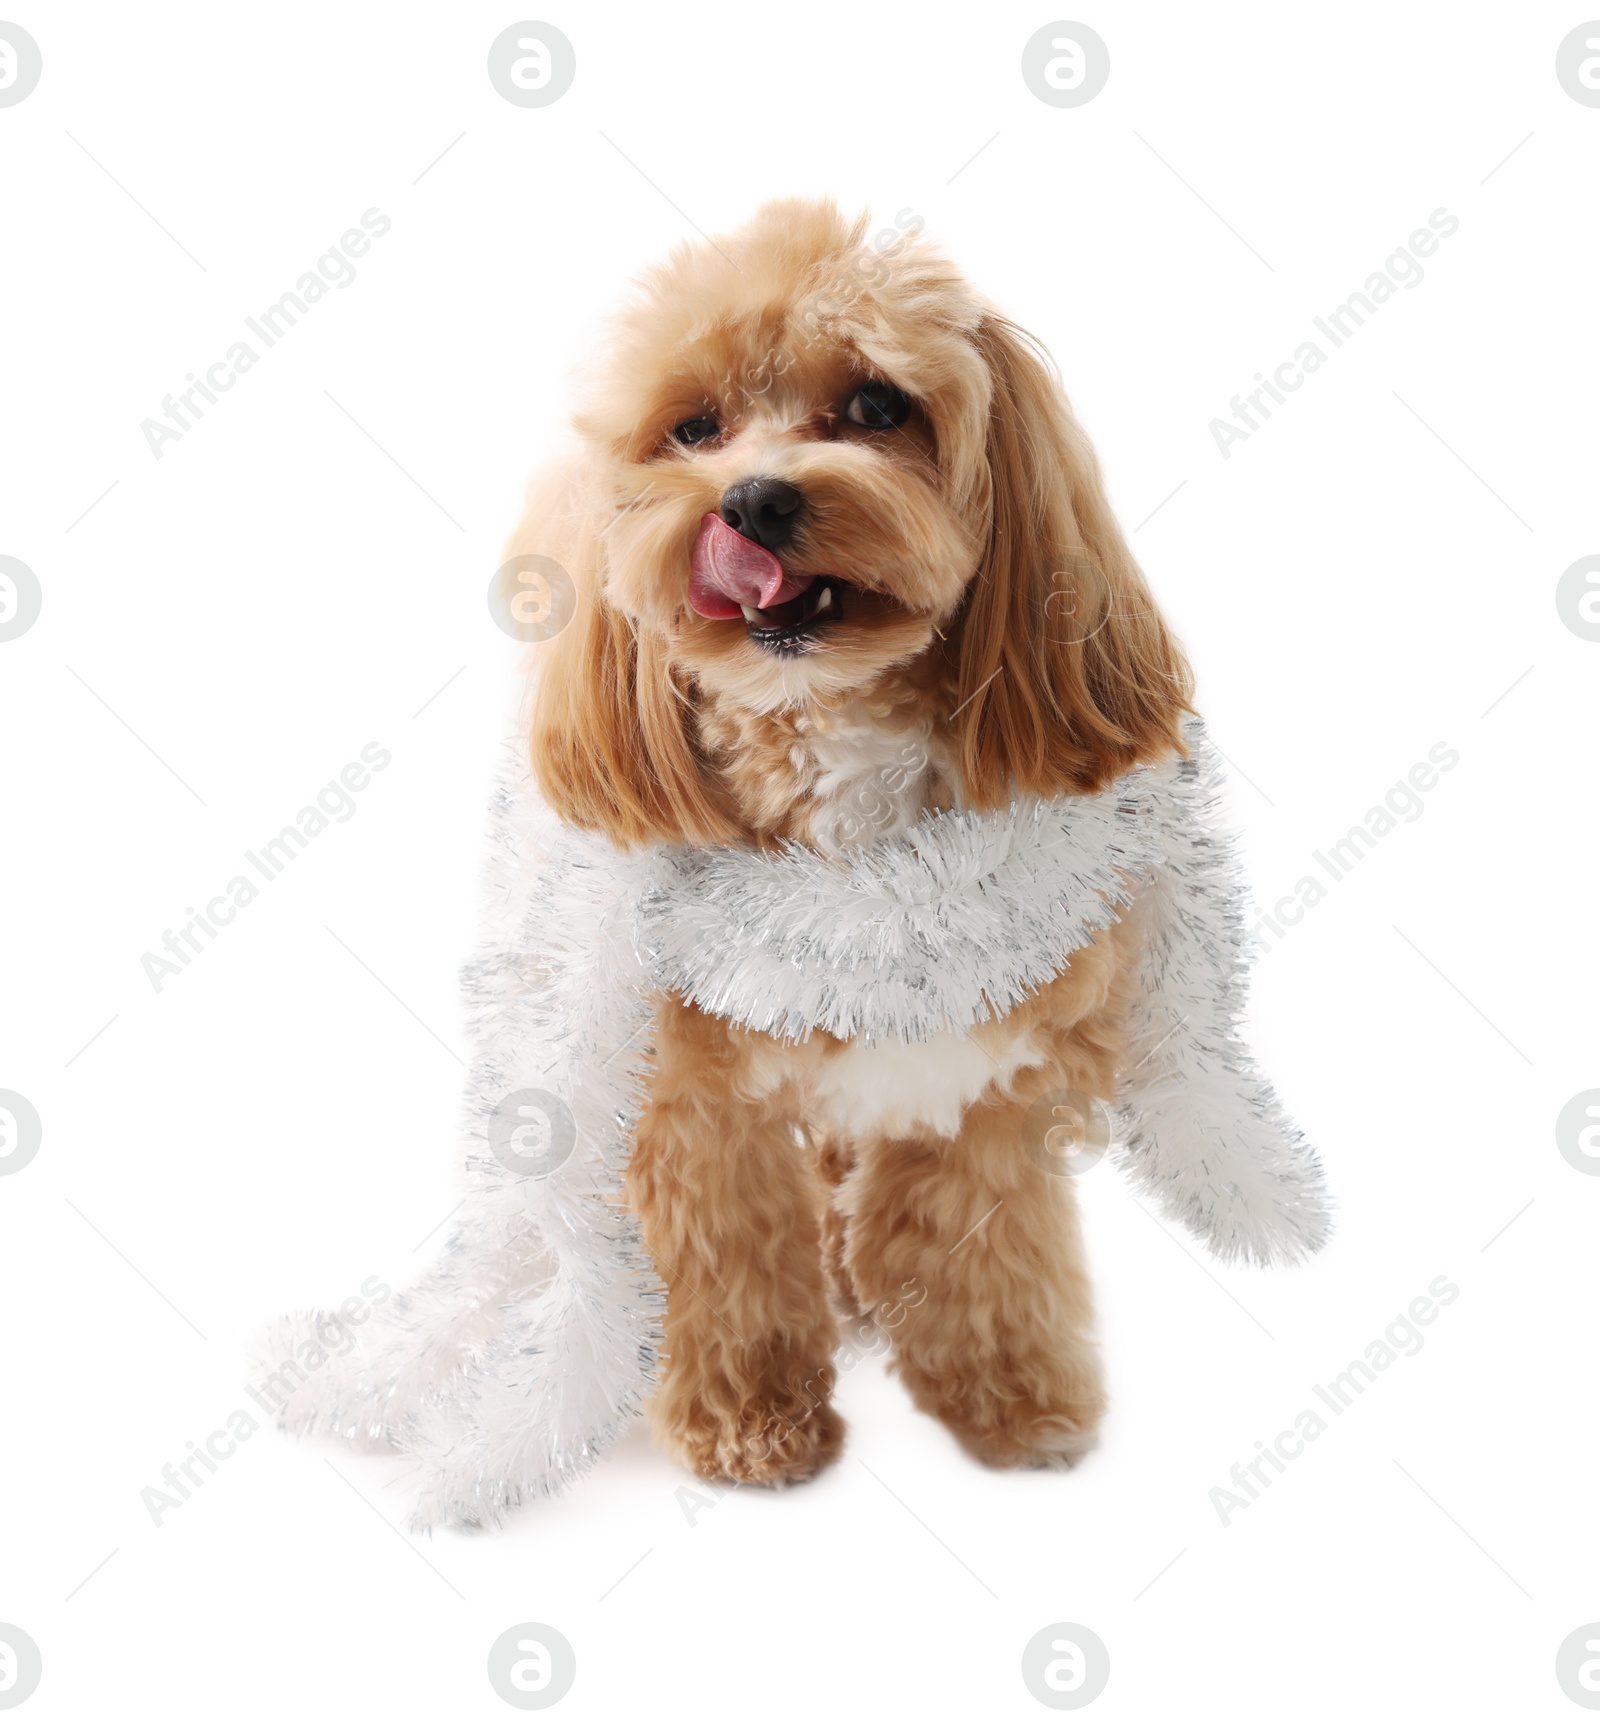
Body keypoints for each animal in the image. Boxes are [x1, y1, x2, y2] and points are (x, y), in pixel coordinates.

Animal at [505, 196, 1191, 1482]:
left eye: (878, 405)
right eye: (693, 427)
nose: (753, 502)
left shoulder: (980, 1071)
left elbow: (974, 1233)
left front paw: (1005, 1389)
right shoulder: (697, 1097)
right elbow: (731, 1254)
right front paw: (749, 1417)